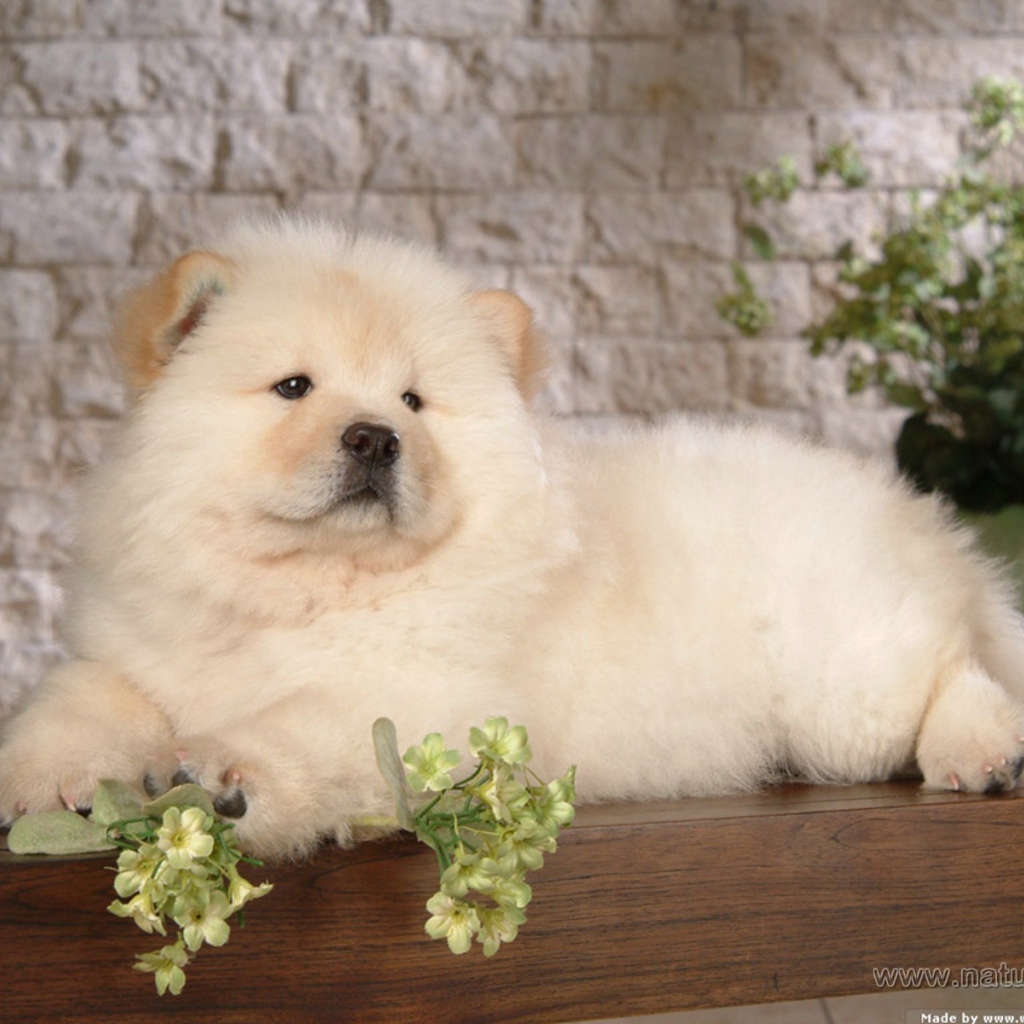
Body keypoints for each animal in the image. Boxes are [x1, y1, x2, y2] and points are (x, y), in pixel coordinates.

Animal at [2, 216, 1023, 858]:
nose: (375, 436)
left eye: (413, 401)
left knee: (955, 671)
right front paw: (43, 777)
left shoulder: (434, 698)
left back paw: (982, 753)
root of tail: (922, 522)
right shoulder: (144, 643)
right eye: (294, 387)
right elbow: (91, 692)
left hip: (842, 687)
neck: (306, 584)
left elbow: (320, 721)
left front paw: (225, 775)